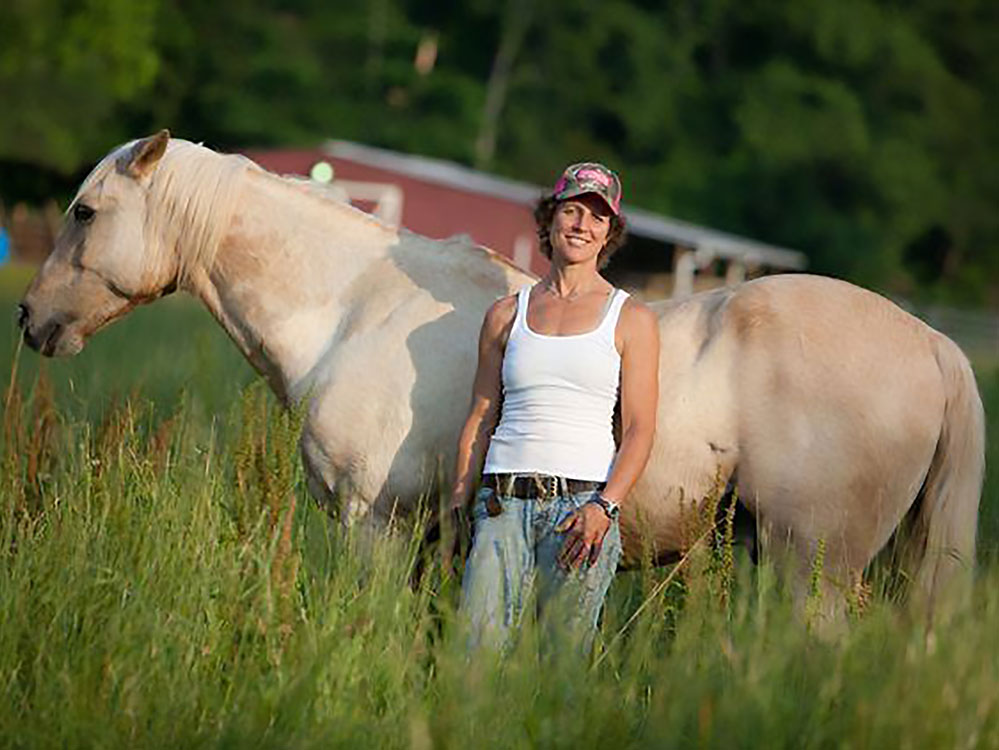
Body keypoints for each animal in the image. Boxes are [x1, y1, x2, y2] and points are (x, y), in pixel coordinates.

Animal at [15, 134, 984, 616]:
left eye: (85, 211)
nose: (29, 319)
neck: (351, 308)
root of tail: (934, 345)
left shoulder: (373, 528)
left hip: (806, 566)